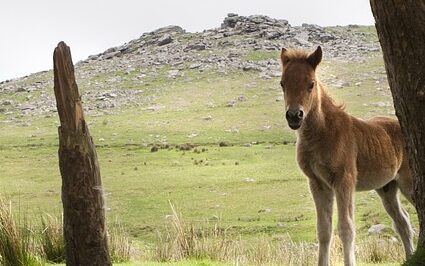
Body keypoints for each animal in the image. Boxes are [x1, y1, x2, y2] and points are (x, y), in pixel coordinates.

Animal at [278, 46, 414, 266]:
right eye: (282, 83)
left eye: (311, 84)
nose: (294, 116)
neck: (323, 133)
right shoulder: (318, 183)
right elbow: (323, 230)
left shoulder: (344, 180)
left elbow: (346, 228)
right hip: (387, 188)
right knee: (403, 222)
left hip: (408, 182)